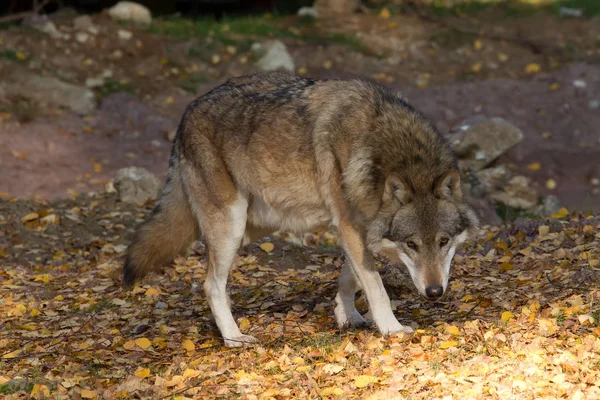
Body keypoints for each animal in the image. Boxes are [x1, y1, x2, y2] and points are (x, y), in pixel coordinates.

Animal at [122, 72, 478, 346]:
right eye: (411, 244)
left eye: (444, 241)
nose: (435, 292)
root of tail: (186, 113)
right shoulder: (349, 225)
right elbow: (376, 286)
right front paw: (391, 329)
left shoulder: (354, 228)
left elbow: (351, 278)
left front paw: (346, 315)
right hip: (230, 228)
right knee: (211, 285)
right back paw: (234, 338)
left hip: (253, 226)